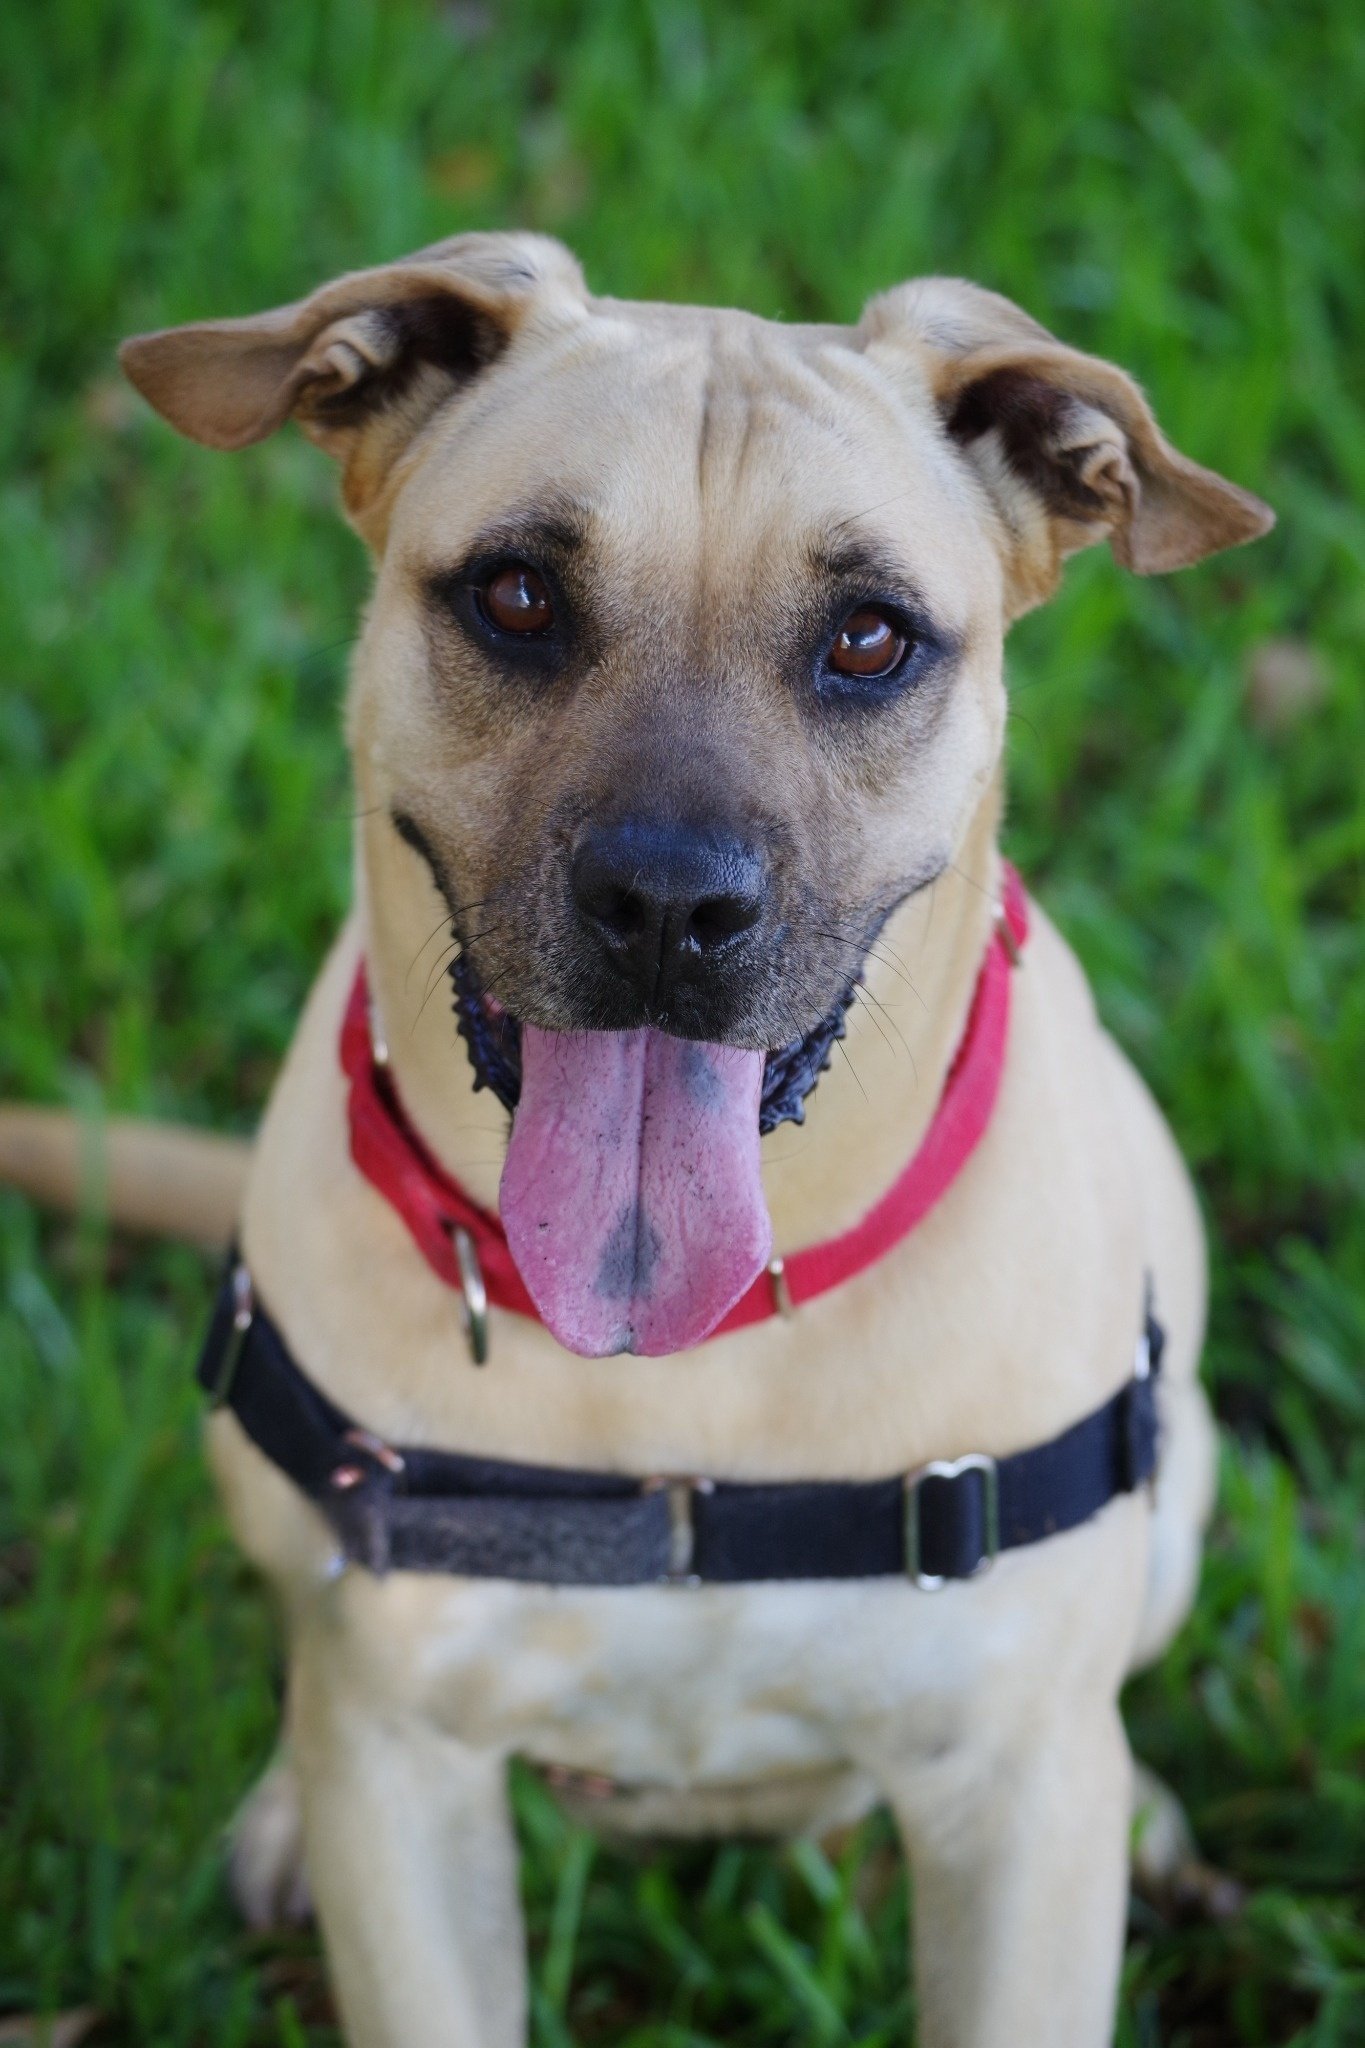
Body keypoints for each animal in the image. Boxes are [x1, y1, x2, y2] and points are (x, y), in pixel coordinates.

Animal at [5, 232, 1277, 2039]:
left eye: (869, 638)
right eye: (519, 596)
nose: (670, 905)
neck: (690, 1363)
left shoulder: (1014, 1798)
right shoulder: (403, 1766)